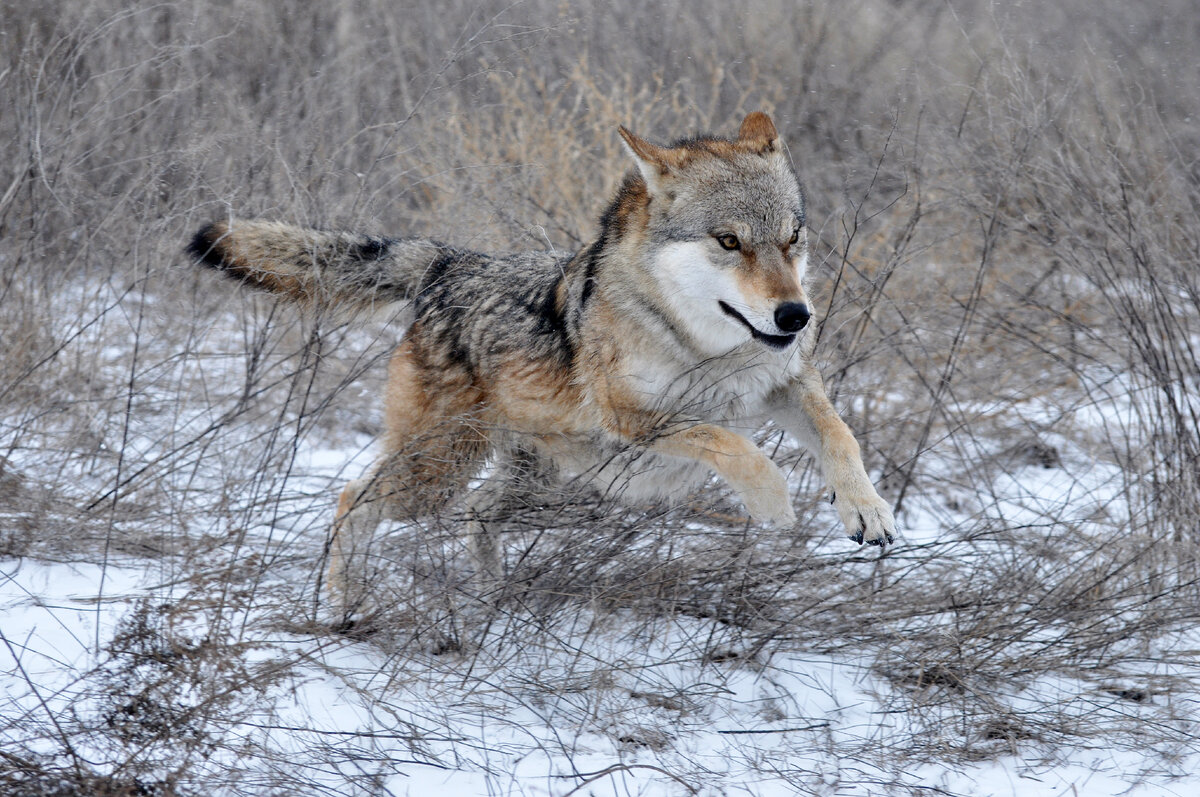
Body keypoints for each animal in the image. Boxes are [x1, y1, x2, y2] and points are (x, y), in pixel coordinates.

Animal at [187, 112, 897, 607]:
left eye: (792, 238)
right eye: (729, 242)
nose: (797, 316)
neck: (708, 351)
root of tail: (448, 262)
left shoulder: (787, 383)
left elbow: (841, 435)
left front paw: (866, 511)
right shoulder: (634, 417)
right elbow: (733, 445)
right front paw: (773, 503)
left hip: (544, 483)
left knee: (472, 512)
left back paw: (490, 597)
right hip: (439, 473)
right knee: (350, 499)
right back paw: (341, 608)